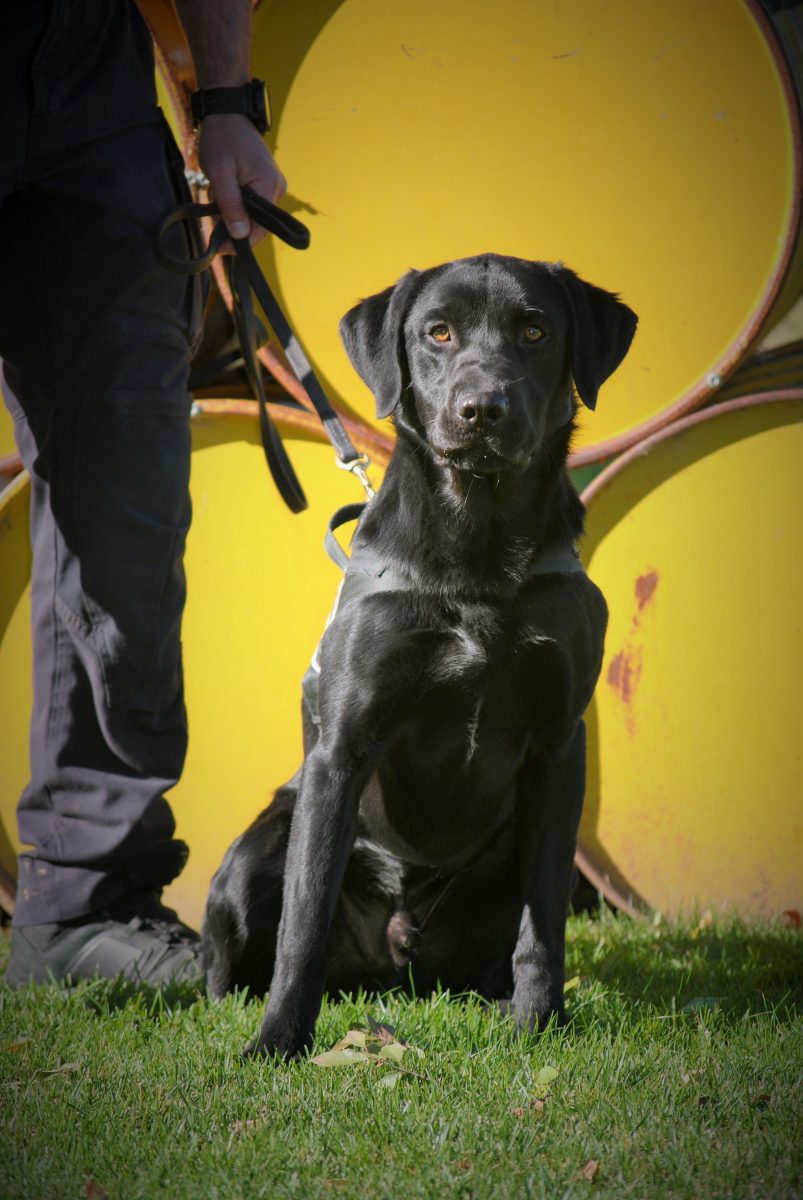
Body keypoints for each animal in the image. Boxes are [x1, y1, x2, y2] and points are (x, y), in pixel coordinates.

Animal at [204, 255, 633, 1060]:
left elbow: (544, 927)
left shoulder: (559, 748)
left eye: (534, 330)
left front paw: (540, 1023)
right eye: (437, 332)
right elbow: (301, 925)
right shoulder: (342, 750)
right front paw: (278, 1041)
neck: (478, 550)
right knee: (231, 956)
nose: (481, 408)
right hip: (256, 852)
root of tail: (389, 965)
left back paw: (501, 1003)